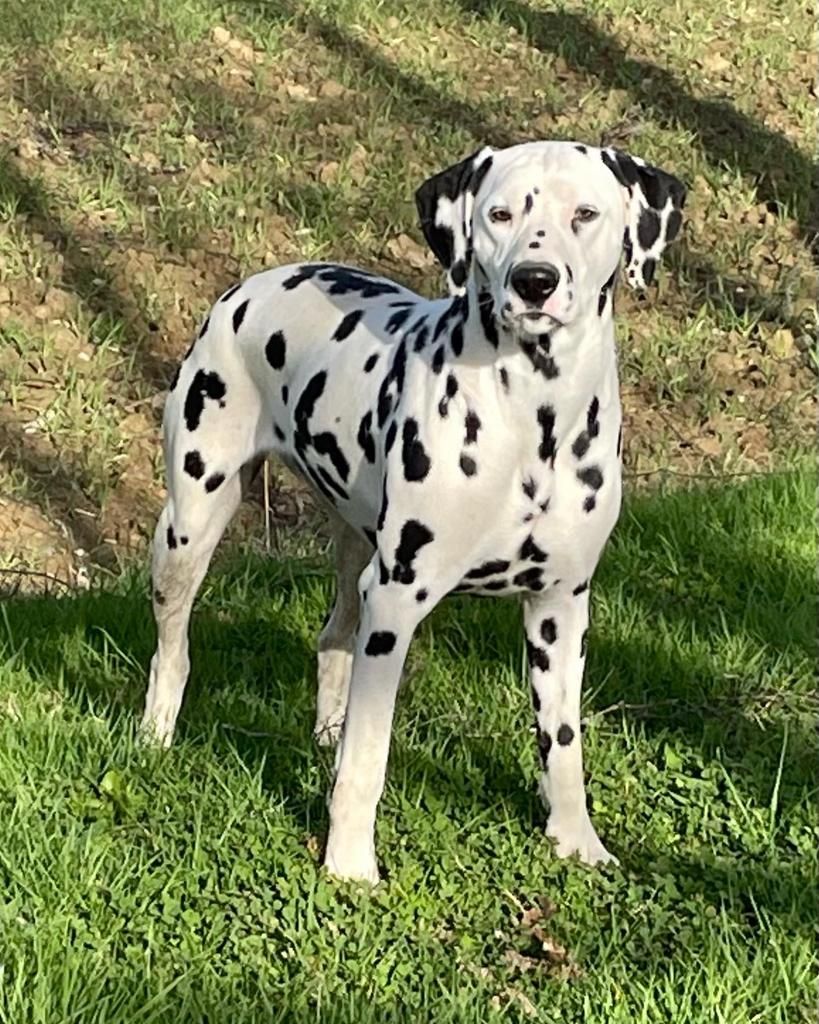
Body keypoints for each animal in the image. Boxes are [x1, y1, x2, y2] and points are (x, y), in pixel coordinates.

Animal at [142, 140, 683, 884]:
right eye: (499, 214)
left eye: (585, 213)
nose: (535, 281)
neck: (532, 418)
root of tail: (252, 285)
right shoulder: (397, 602)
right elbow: (369, 756)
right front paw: (348, 865)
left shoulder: (561, 607)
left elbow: (563, 741)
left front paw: (576, 841)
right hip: (191, 527)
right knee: (173, 645)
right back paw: (155, 733)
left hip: (353, 555)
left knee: (332, 638)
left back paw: (325, 734)